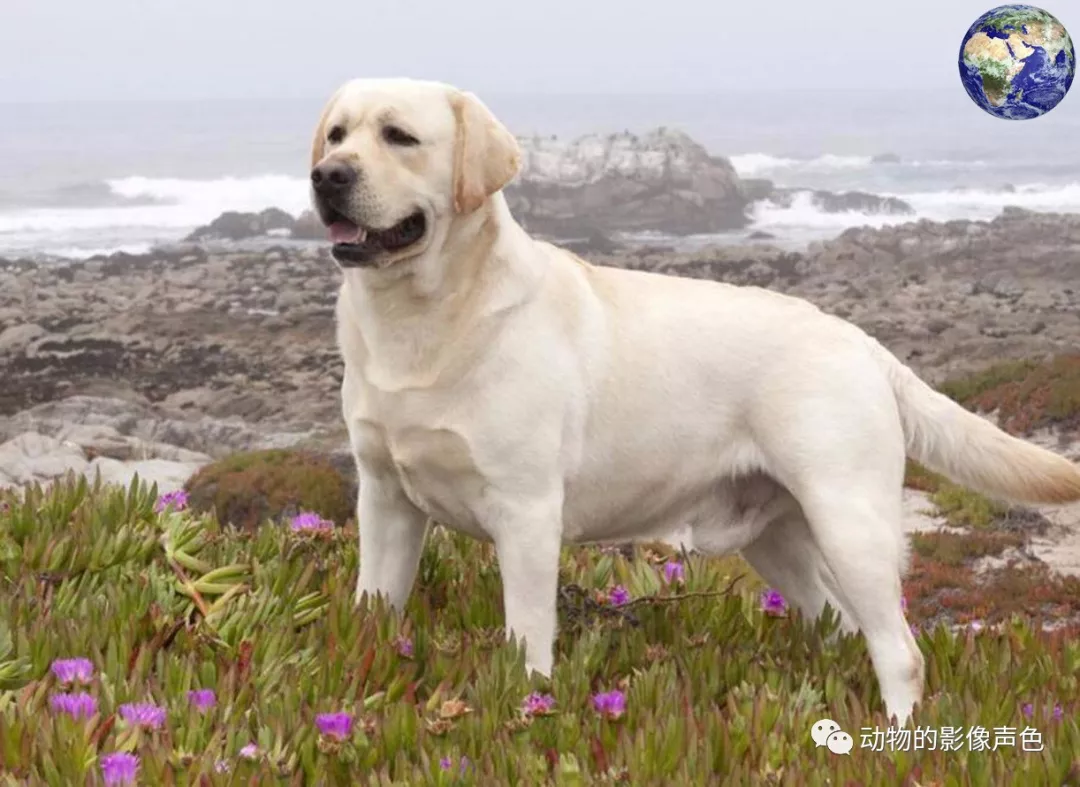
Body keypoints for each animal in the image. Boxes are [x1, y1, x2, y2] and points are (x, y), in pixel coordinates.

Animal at [308, 78, 1080, 725]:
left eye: (400, 136)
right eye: (337, 134)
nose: (327, 175)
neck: (421, 321)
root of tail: (864, 343)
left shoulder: (525, 514)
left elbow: (526, 638)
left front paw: (528, 703)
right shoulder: (385, 499)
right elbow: (375, 605)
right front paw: (362, 668)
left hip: (850, 521)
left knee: (902, 651)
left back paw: (895, 739)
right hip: (780, 537)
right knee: (839, 623)